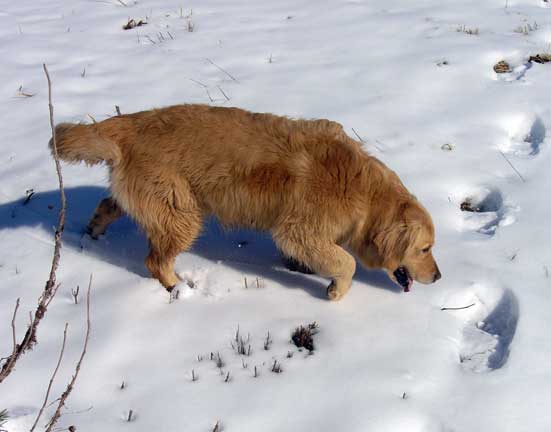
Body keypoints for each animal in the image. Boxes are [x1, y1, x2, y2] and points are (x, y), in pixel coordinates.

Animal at [50, 104, 440, 300]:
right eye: (425, 249)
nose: (438, 277)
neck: (364, 190)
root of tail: (125, 124)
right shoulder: (299, 229)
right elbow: (347, 262)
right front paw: (335, 288)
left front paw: (300, 266)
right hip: (182, 211)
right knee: (155, 261)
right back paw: (178, 287)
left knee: (108, 206)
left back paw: (92, 235)